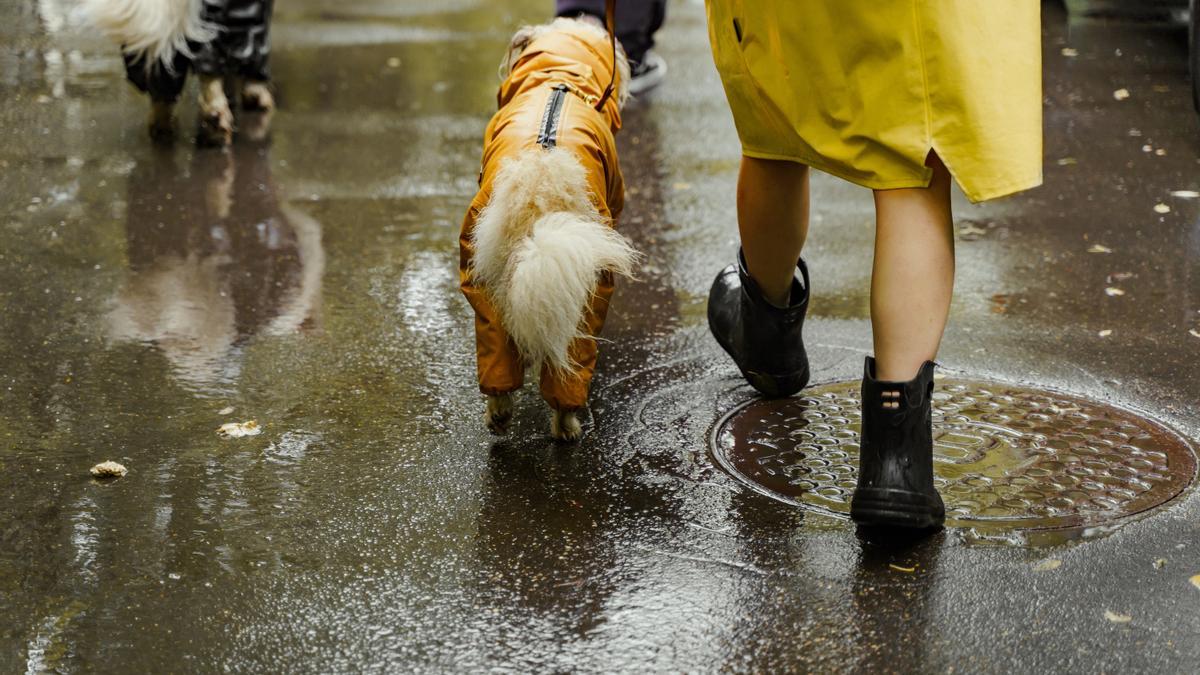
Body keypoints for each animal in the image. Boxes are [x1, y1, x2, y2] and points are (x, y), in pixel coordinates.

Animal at [458, 17, 643, 441]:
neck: (559, 77)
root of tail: (541, 180)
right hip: (592, 282)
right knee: (569, 367)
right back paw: (569, 425)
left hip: (482, 272)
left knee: (497, 357)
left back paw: (499, 414)